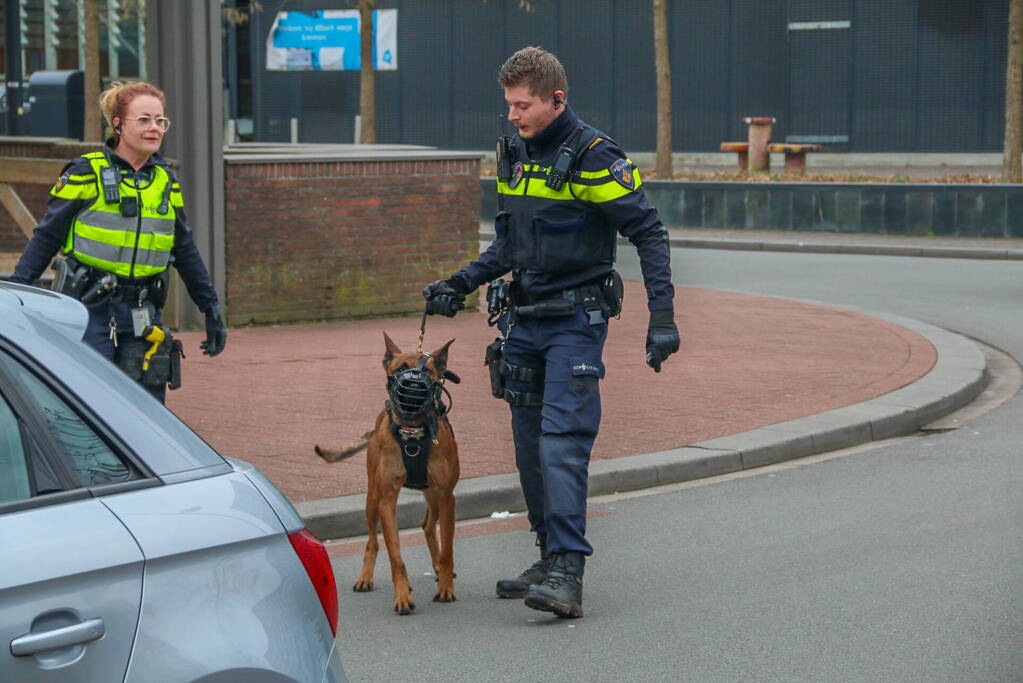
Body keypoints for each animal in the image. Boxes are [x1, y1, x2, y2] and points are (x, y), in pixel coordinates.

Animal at [310, 333, 456, 617]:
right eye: (399, 369)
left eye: (428, 371)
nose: (412, 384)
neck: (412, 433)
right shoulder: (387, 500)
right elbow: (395, 555)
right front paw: (402, 595)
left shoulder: (447, 496)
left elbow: (447, 549)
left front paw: (445, 586)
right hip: (372, 498)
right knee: (372, 541)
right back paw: (365, 577)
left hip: (434, 496)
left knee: (428, 526)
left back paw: (437, 569)